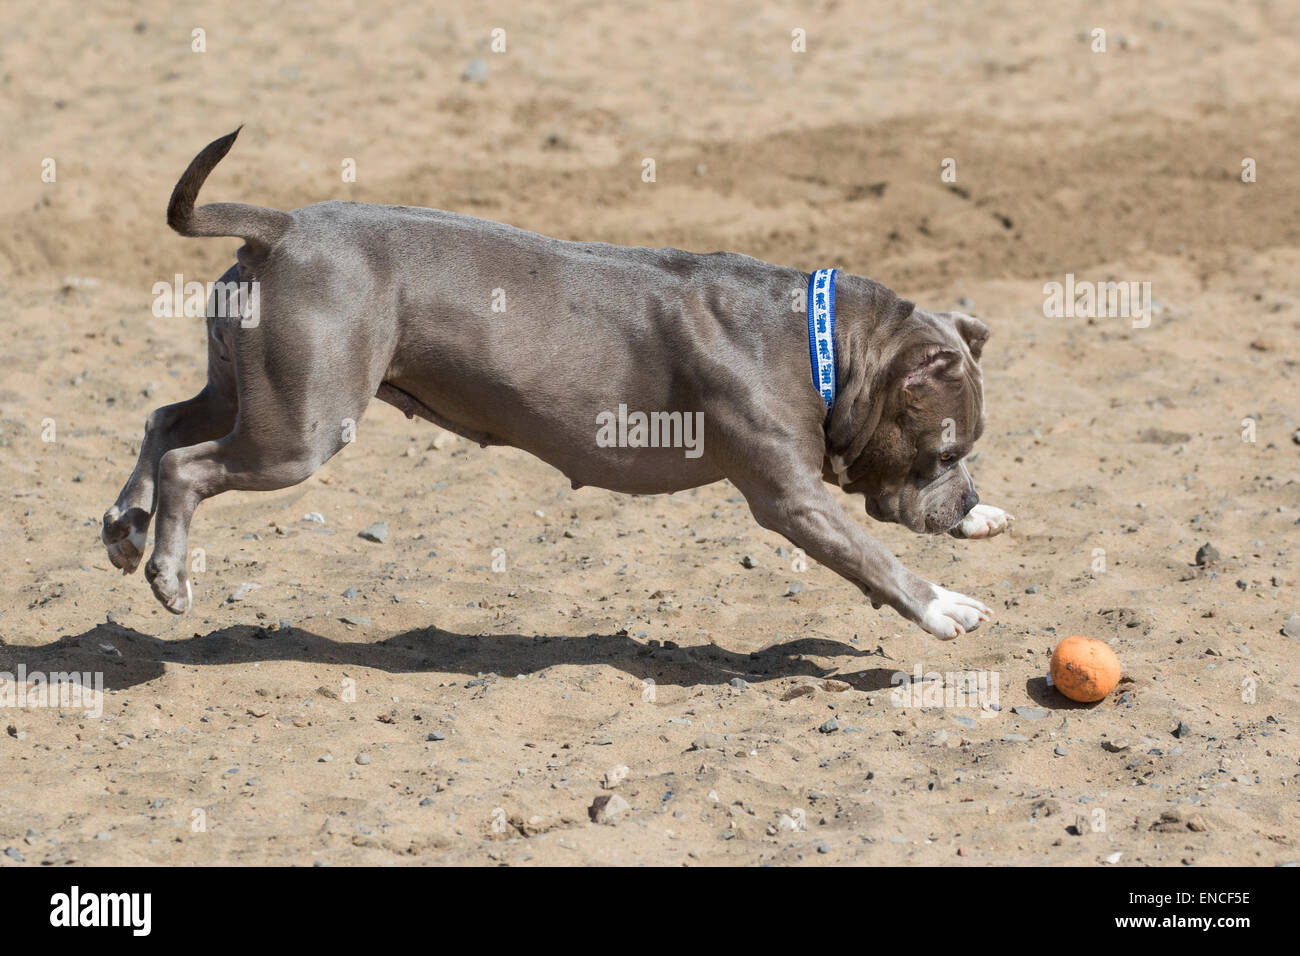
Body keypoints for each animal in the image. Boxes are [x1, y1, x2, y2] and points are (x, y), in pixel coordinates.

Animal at [104, 127, 1013, 634]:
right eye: (943, 451)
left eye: (969, 455)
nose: (962, 499)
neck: (829, 344)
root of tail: (285, 227)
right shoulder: (789, 498)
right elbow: (870, 556)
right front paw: (943, 606)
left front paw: (984, 520)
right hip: (302, 430)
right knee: (189, 464)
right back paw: (168, 574)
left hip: (246, 387)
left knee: (163, 421)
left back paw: (125, 527)